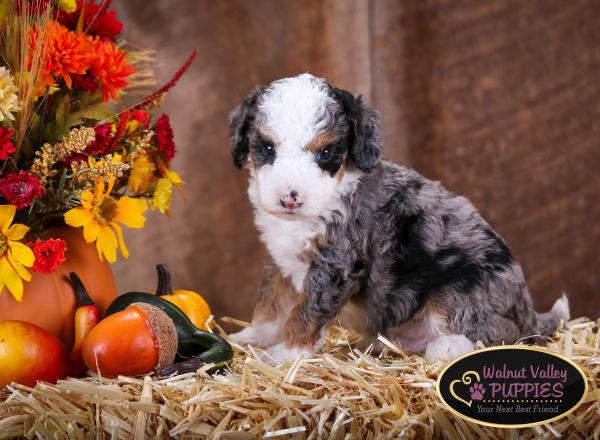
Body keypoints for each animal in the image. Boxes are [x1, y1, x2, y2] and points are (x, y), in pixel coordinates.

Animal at [227, 74, 568, 362]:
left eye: (325, 153)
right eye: (267, 147)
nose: (290, 197)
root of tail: (529, 318)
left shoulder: (334, 264)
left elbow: (306, 313)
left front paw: (285, 354)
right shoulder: (281, 262)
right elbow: (272, 305)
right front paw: (251, 338)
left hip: (460, 292)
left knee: (487, 337)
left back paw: (444, 348)